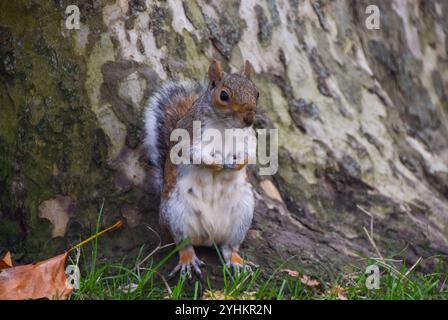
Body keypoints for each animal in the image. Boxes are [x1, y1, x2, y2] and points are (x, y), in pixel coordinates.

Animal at [144, 60, 260, 278]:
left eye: (257, 93)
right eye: (224, 95)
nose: (249, 119)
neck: (226, 126)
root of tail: (209, 237)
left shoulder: (249, 139)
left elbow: (250, 153)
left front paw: (236, 164)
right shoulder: (190, 137)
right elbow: (196, 155)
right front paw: (217, 163)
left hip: (242, 215)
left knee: (229, 248)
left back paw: (236, 262)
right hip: (175, 213)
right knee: (184, 244)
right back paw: (188, 260)